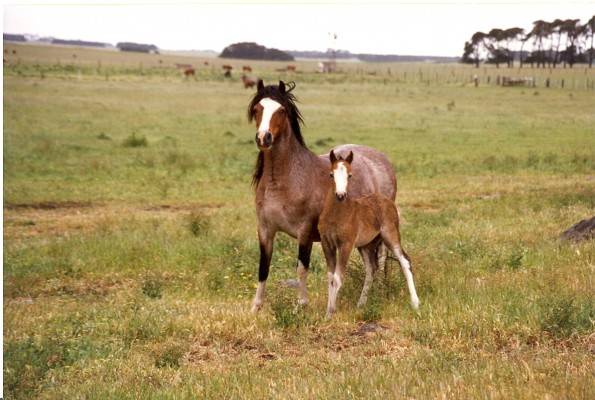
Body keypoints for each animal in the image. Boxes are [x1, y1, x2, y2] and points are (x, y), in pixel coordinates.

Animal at [249, 80, 398, 312]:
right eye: (257, 109)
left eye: (281, 110)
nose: (263, 138)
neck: (282, 181)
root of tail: (382, 161)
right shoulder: (265, 230)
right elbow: (263, 267)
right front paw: (256, 308)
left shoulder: (304, 232)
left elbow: (302, 267)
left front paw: (301, 305)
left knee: (378, 263)